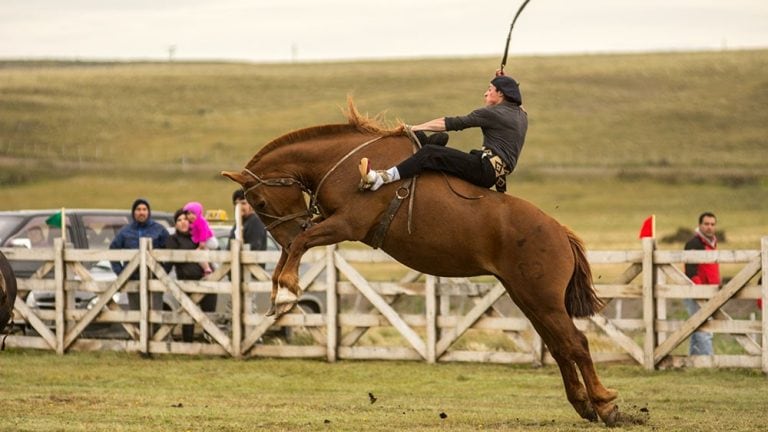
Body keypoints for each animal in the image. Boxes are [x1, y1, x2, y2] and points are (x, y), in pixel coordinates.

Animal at [220, 101, 624, 426]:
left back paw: (604, 405)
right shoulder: (326, 223)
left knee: (576, 343)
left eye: (258, 202)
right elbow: (293, 250)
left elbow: (303, 243)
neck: (347, 162)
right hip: (527, 298)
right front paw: (279, 289)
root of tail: (561, 234)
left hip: (543, 299)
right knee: (559, 346)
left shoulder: (347, 224)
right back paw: (584, 405)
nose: (285, 233)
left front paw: (288, 289)